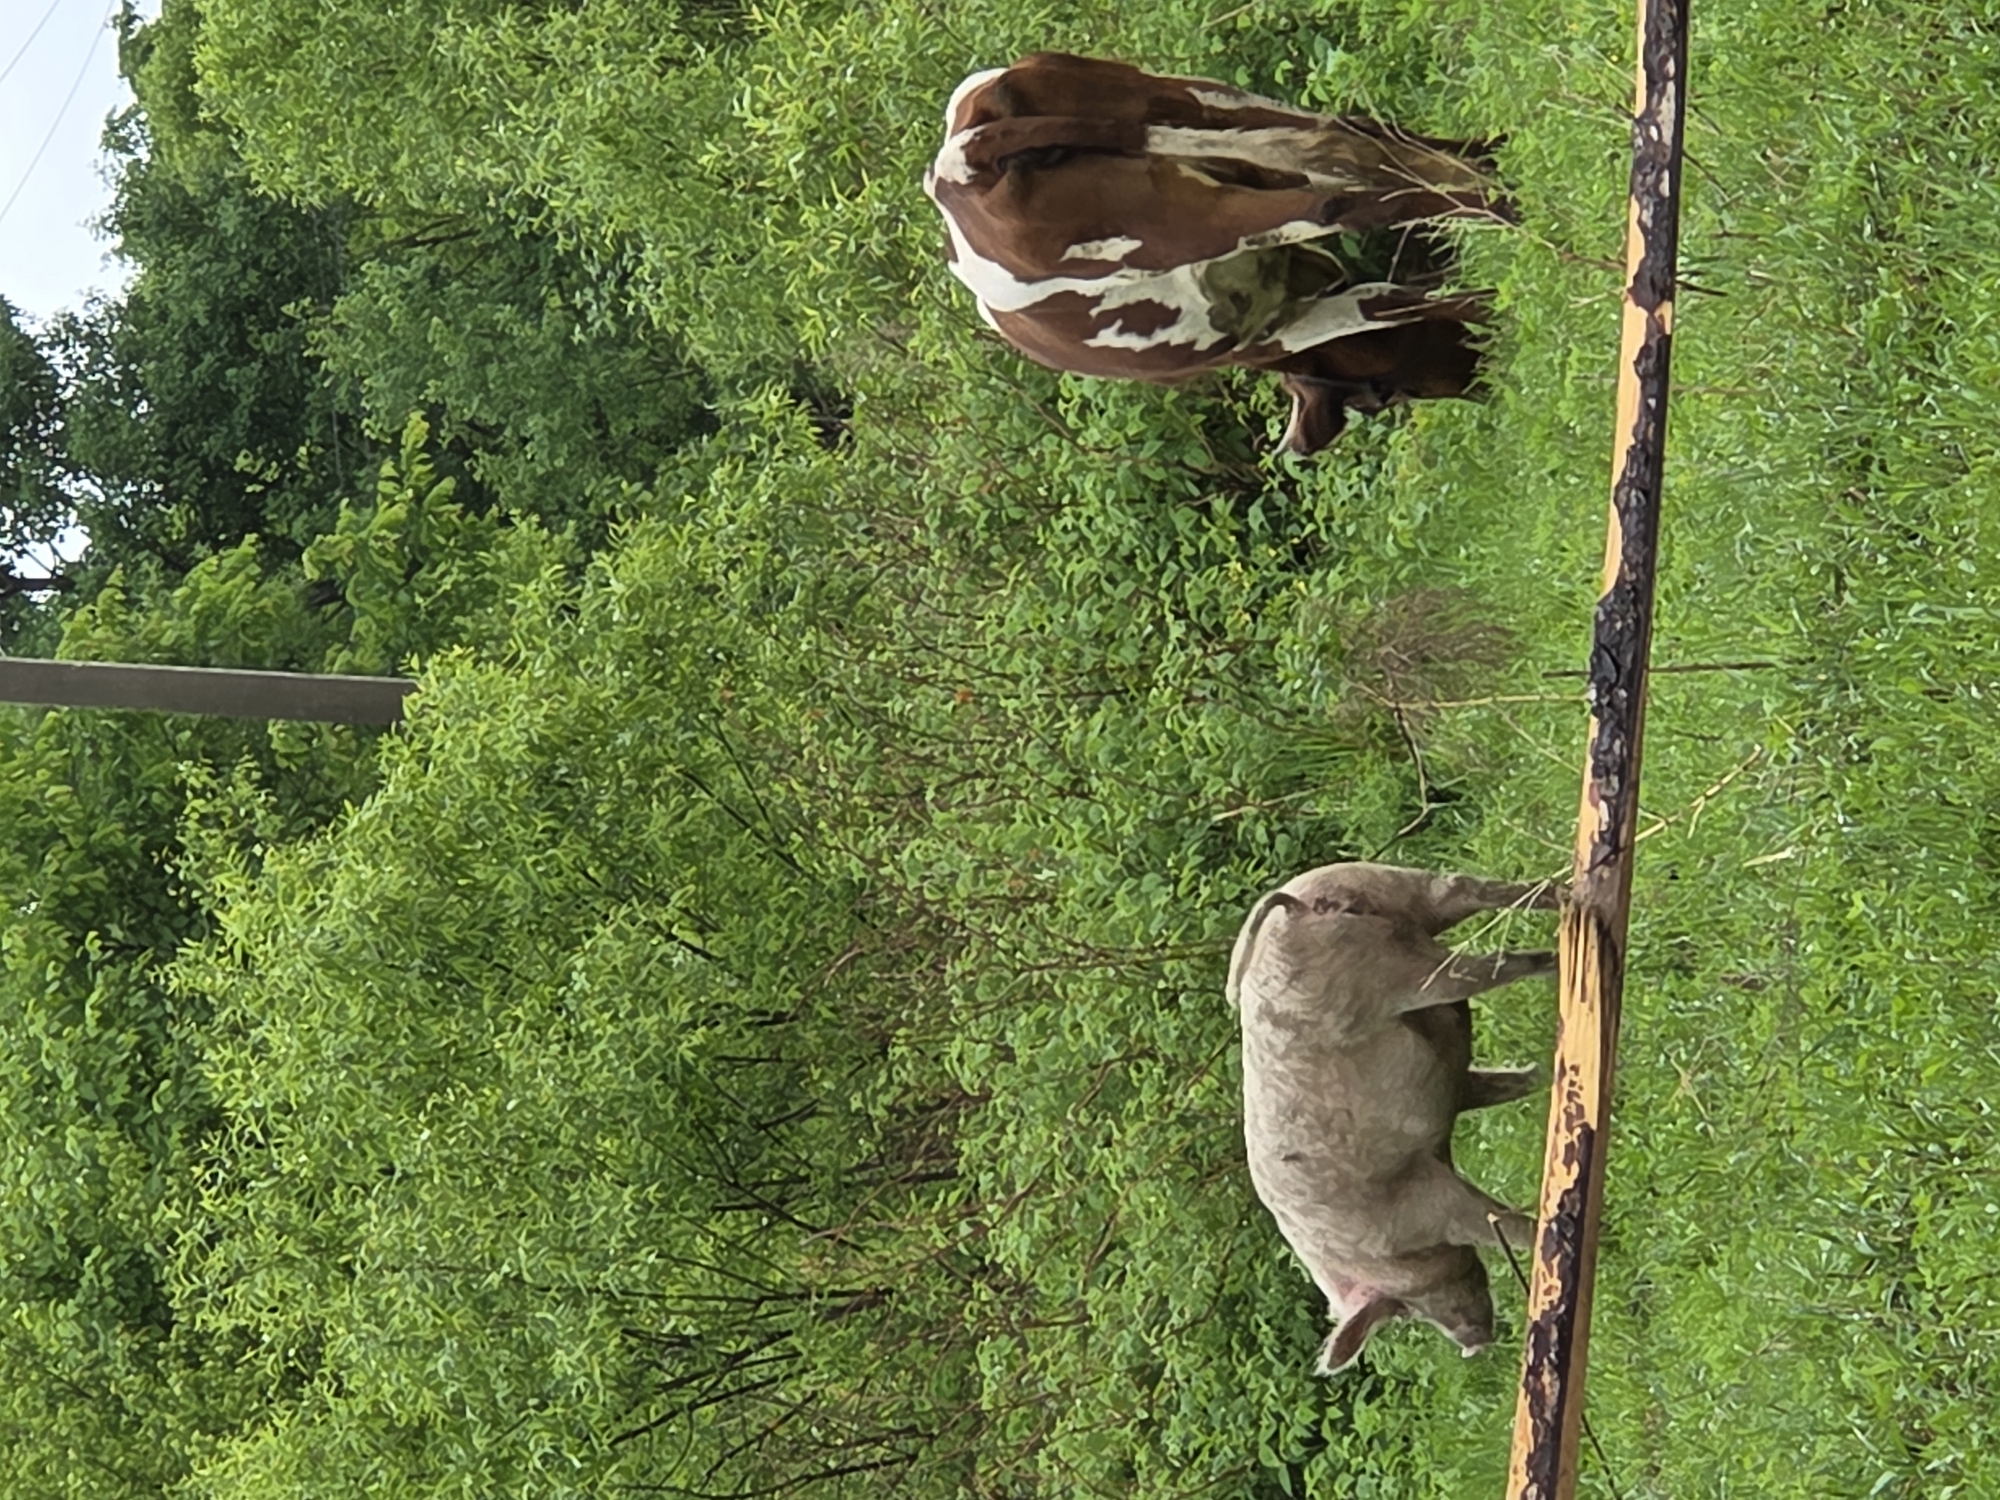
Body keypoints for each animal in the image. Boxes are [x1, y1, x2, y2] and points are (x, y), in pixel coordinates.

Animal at [924, 53, 1509, 454]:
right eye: (1385, 394)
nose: (1482, 381)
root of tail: (965, 160)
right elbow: (1392, 294)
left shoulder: (1278, 331)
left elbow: (1388, 299)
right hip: (1202, 103)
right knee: (1348, 139)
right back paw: (1498, 173)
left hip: (1191, 200)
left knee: (1344, 196)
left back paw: (1505, 208)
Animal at [1226, 861, 1558, 1373]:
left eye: (1400, 1310)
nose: (1474, 1343)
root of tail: (1300, 909)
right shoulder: (1454, 1090)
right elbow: (1513, 1084)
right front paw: (1544, 1074)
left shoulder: (1430, 1203)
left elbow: (1497, 1221)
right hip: (1391, 884)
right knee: (1467, 888)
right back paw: (1567, 899)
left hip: (1398, 974)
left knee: (1485, 965)